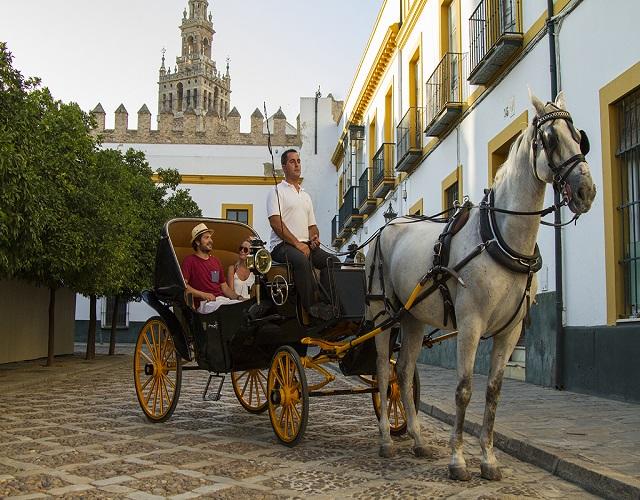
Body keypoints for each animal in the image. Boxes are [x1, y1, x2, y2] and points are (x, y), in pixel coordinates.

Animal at [368, 92, 596, 482]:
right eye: (549, 139)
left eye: (580, 138)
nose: (586, 190)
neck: (499, 238)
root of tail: (387, 226)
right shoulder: (471, 324)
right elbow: (463, 389)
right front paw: (458, 460)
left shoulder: (511, 330)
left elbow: (493, 391)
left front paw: (488, 459)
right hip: (383, 314)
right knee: (384, 372)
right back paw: (384, 439)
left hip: (412, 318)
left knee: (404, 372)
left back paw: (417, 440)